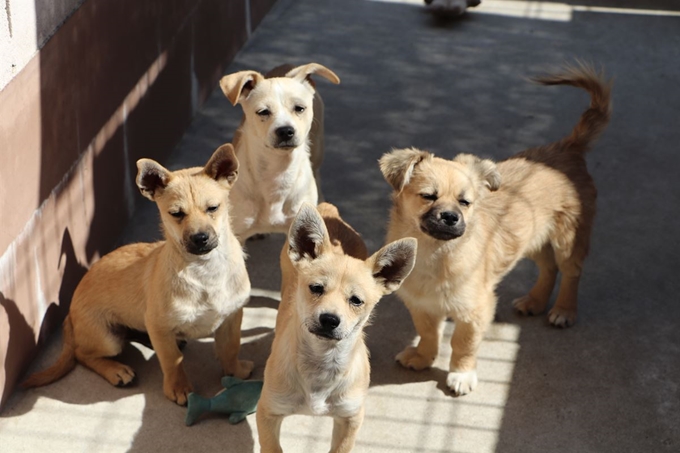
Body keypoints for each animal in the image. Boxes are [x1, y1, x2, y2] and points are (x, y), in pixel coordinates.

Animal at [23, 143, 254, 404]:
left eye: (213, 208)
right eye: (176, 214)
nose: (200, 238)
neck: (205, 270)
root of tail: (69, 316)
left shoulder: (232, 316)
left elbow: (230, 348)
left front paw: (235, 371)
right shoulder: (160, 326)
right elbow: (172, 360)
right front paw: (179, 389)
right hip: (108, 339)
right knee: (83, 354)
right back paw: (116, 370)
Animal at [258, 203, 418, 452]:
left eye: (356, 301)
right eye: (316, 288)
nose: (329, 320)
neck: (322, 362)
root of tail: (328, 210)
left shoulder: (350, 418)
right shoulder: (268, 412)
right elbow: (273, 448)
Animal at [382, 63, 612, 396]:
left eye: (465, 202)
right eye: (428, 196)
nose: (450, 217)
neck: (435, 253)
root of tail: (568, 147)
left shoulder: (476, 310)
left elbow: (462, 343)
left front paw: (461, 375)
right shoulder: (422, 305)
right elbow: (428, 334)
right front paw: (423, 357)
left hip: (567, 240)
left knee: (570, 272)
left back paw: (564, 310)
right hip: (532, 239)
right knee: (549, 268)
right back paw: (535, 302)